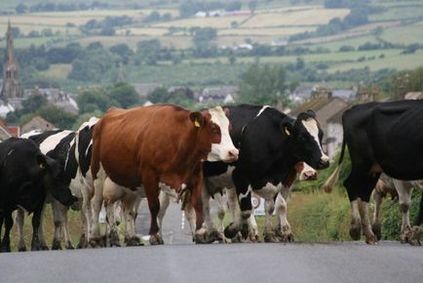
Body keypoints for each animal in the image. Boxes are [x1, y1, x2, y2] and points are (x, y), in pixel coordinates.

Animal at [89, 105, 238, 246]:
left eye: (229, 127)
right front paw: (155, 235)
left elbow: (198, 204)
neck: (177, 140)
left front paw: (201, 232)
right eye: (214, 128)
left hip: (129, 185)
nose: (233, 152)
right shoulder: (150, 176)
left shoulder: (195, 176)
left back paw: (125, 238)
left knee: (123, 209)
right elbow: (155, 206)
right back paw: (95, 237)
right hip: (98, 175)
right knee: (96, 204)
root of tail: (107, 115)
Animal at [324, 100, 423, 244]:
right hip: (363, 163)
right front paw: (409, 234)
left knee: (364, 194)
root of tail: (352, 109)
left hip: (373, 170)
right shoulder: (400, 179)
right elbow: (405, 205)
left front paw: (410, 234)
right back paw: (358, 229)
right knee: (353, 186)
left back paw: (369, 233)